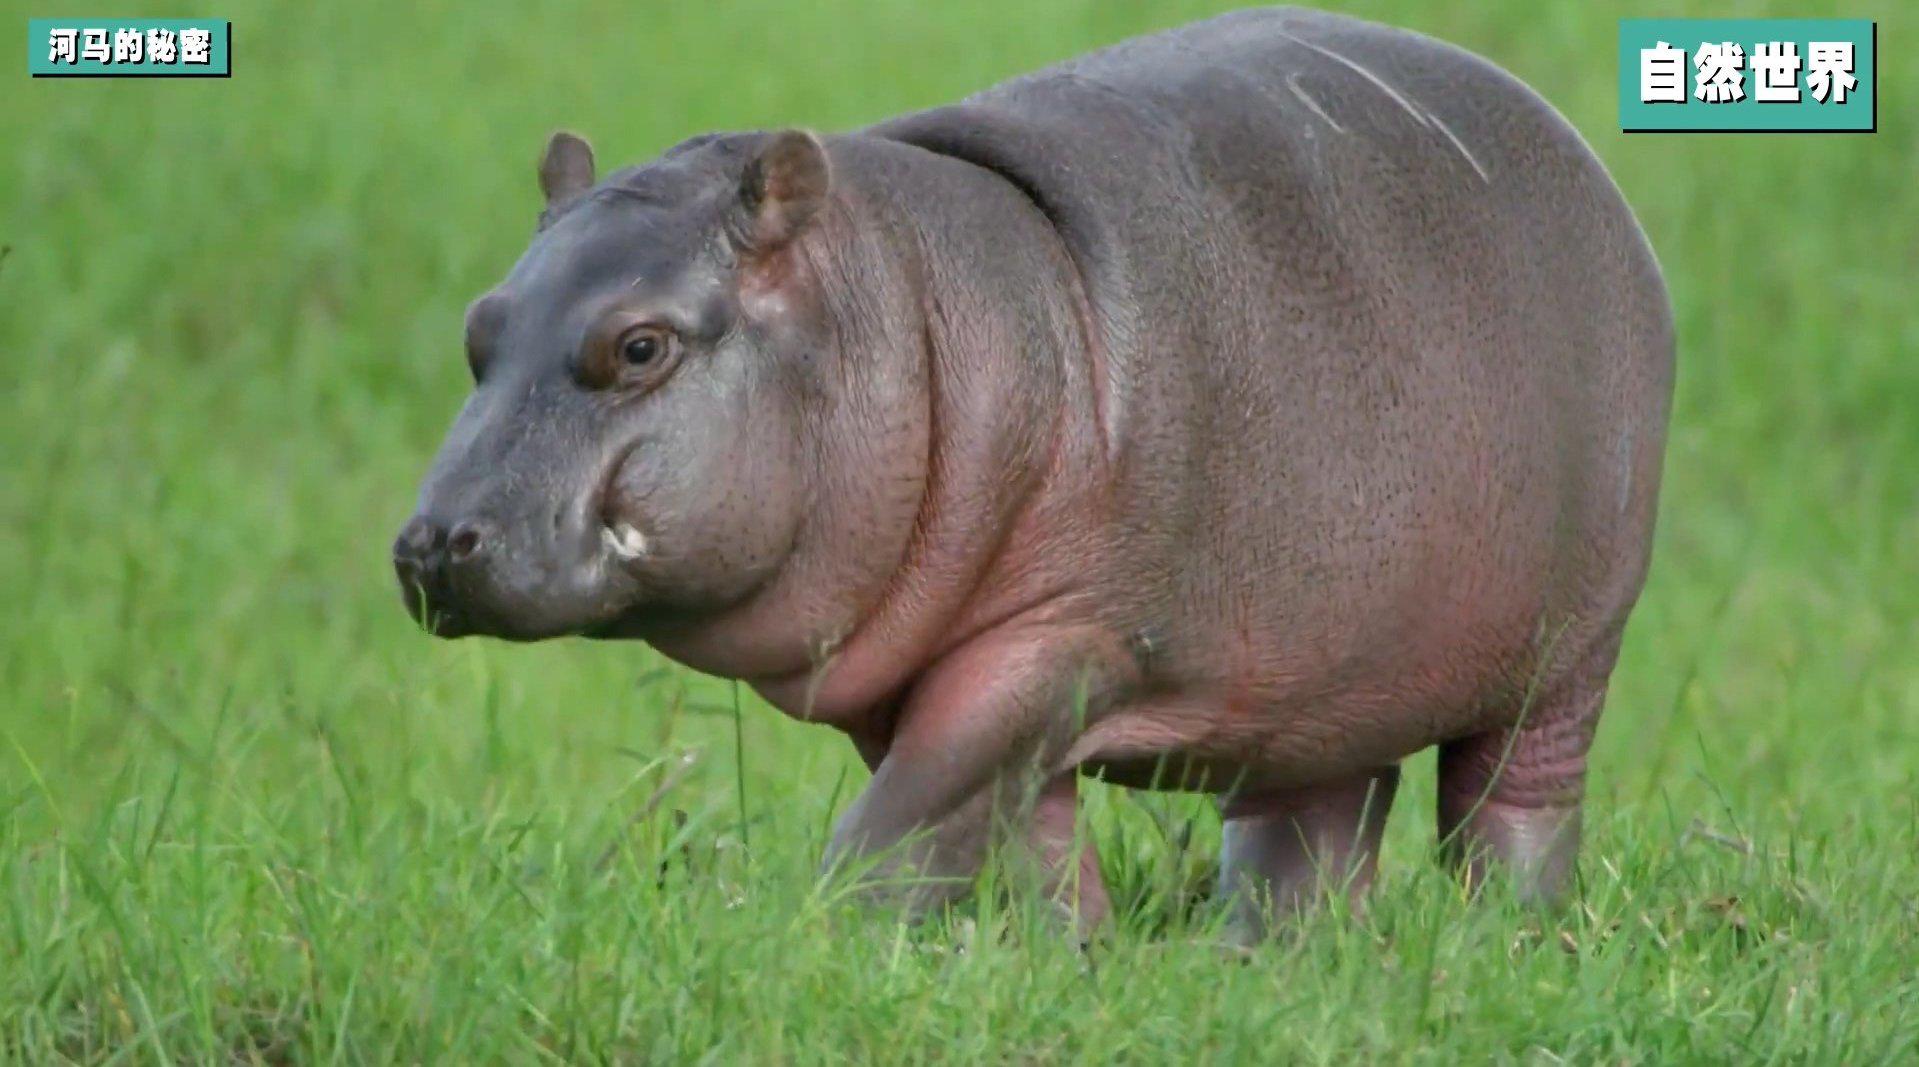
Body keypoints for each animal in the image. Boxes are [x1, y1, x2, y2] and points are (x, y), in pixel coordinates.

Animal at [393, 7, 1672, 934]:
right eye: (477, 326)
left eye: (639, 344)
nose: (428, 543)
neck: (900, 299)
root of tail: (1575, 154)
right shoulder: (912, 662)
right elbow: (1014, 831)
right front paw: (1071, 956)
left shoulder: (1055, 636)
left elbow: (912, 816)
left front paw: (813, 938)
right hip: (1329, 661)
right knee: (1310, 819)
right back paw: (1268, 957)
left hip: (1572, 645)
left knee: (1511, 801)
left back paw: (1500, 941)